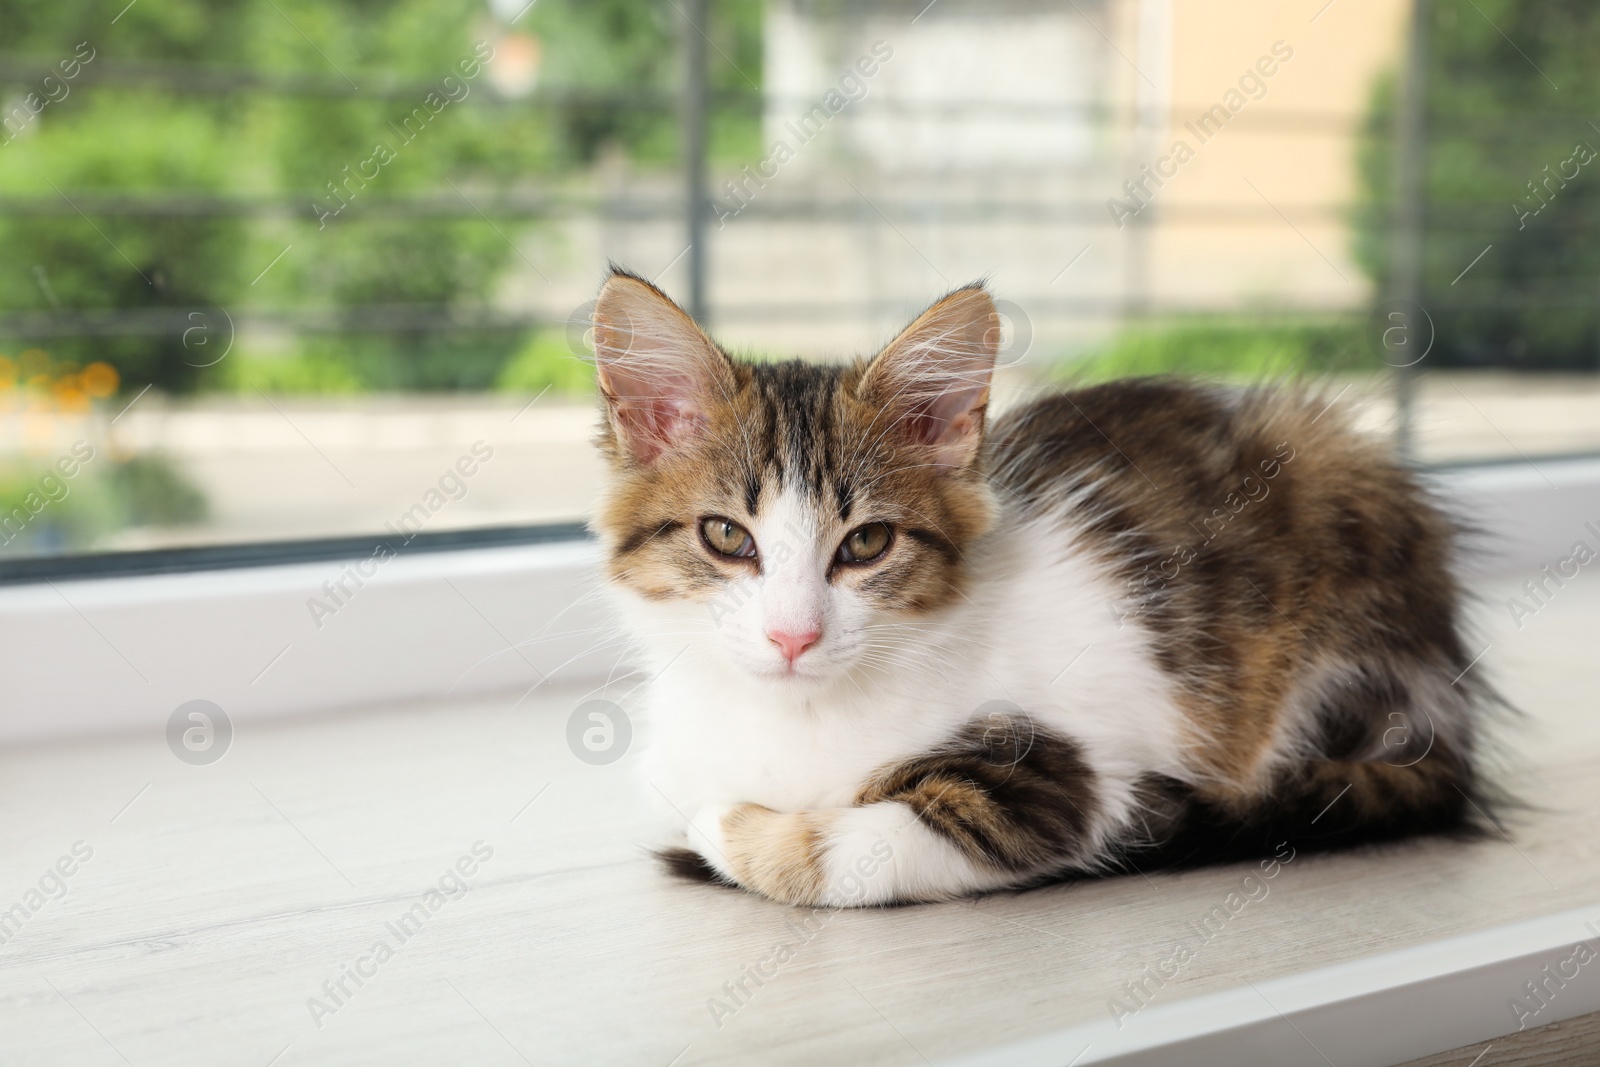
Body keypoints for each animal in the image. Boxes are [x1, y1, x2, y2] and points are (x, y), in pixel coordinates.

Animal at [588, 267, 1497, 908]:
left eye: (867, 543)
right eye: (726, 536)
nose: (793, 636)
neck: (794, 718)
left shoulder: (1073, 782)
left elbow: (854, 851)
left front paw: (728, 827)